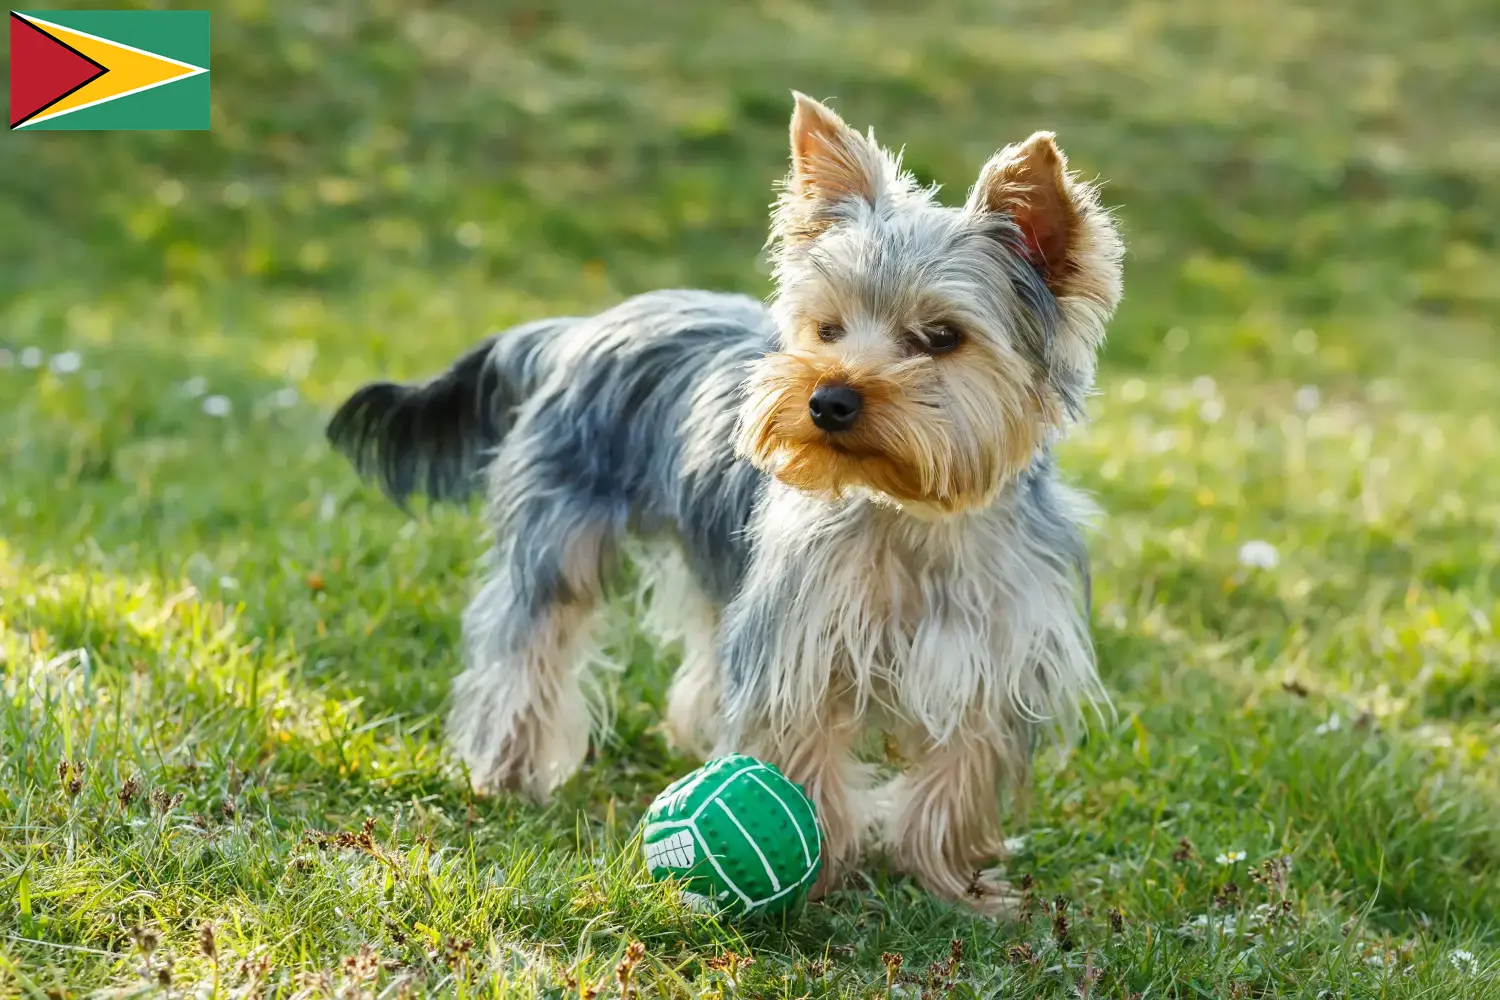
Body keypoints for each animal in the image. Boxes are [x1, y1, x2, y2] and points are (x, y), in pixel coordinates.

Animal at [331, 93, 1128, 917]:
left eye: (942, 337)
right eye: (828, 328)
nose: (828, 400)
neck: (911, 513)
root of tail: (577, 329)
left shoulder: (990, 653)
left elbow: (958, 774)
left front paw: (951, 884)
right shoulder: (800, 641)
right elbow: (802, 751)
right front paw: (820, 881)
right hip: (558, 536)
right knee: (529, 639)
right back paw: (509, 772)